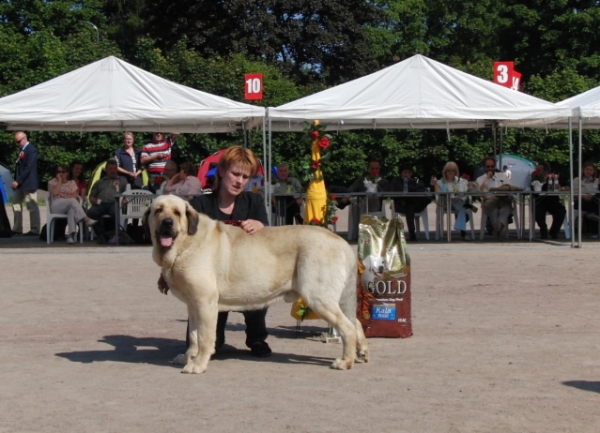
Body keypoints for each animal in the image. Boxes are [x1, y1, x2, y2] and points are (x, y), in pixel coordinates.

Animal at [145, 194, 370, 372]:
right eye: (158, 210)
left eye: (177, 212)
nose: (167, 223)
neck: (184, 244)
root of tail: (341, 242)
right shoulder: (193, 305)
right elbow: (193, 336)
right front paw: (188, 357)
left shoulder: (204, 302)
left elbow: (204, 337)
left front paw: (197, 365)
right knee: (355, 322)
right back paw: (361, 354)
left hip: (319, 298)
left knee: (347, 327)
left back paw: (345, 361)